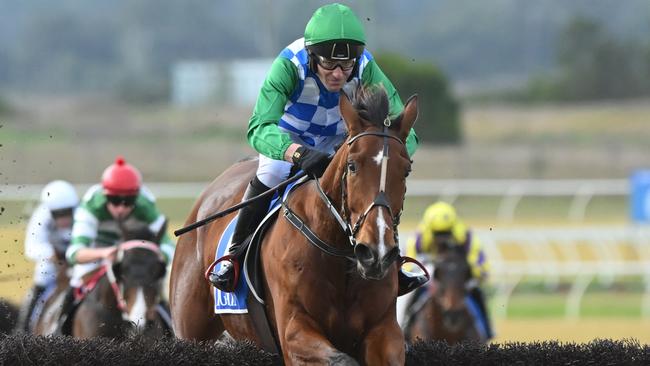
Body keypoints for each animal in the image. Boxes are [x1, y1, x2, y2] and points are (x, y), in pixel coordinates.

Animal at [170, 86, 418, 366]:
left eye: (406, 170)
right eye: (352, 166)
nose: (377, 253)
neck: (339, 256)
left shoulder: (384, 329)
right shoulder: (294, 330)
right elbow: (340, 359)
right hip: (190, 329)